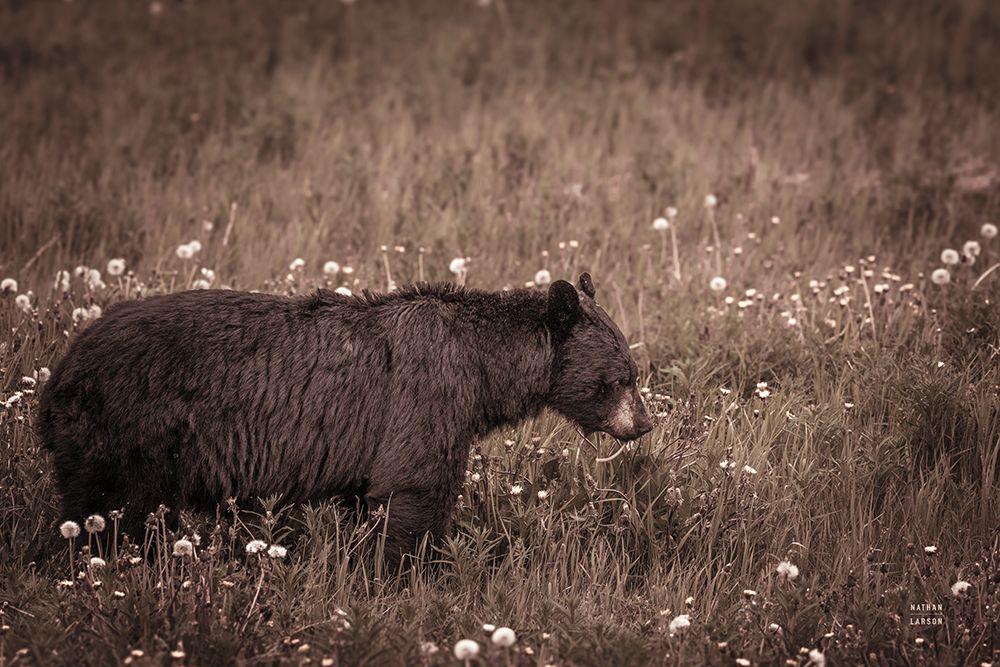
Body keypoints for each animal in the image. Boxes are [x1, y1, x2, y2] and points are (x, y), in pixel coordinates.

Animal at [38, 273, 652, 566]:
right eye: (623, 376)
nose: (644, 424)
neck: (485, 367)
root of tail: (60, 370)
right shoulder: (428, 397)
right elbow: (415, 489)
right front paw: (413, 576)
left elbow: (371, 501)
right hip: (126, 430)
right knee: (102, 512)